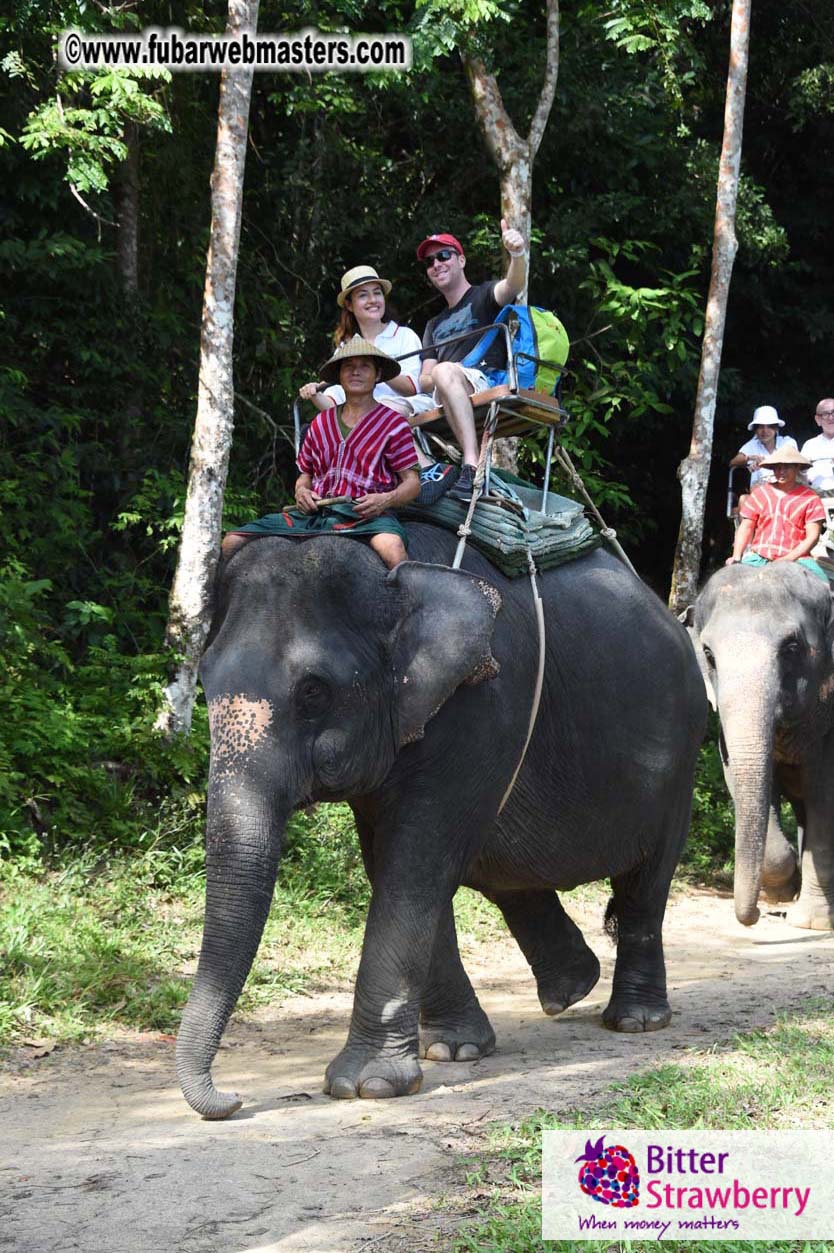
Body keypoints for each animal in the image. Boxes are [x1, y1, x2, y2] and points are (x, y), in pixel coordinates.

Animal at [176, 525, 707, 1119]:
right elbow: (392, 861)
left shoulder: (483, 705)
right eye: (203, 679)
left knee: (644, 883)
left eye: (313, 691)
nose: (233, 1099)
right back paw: (570, 989)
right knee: (504, 870)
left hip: (680, 757)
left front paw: (368, 1085)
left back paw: (635, 1020)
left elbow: (415, 861)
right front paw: (453, 1051)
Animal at [690, 561, 834, 930]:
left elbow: (825, 796)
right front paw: (783, 890)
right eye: (708, 654)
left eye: (792, 648)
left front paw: (810, 923)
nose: (753, 916)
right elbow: (741, 781)